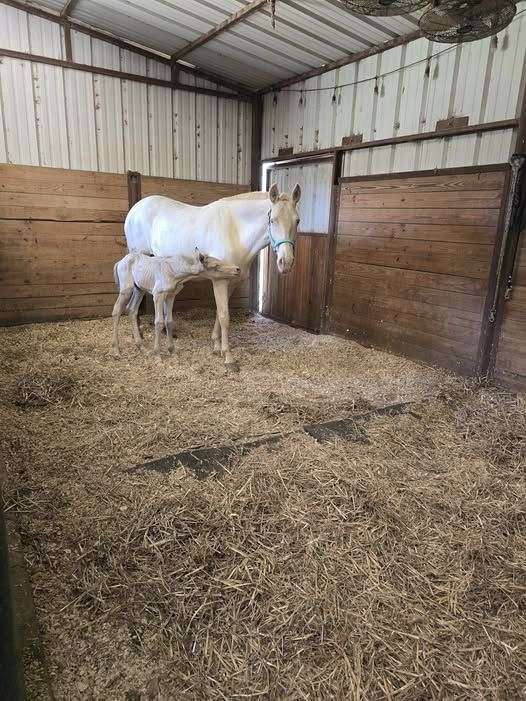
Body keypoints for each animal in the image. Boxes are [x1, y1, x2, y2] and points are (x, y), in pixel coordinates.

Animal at [114, 249, 242, 356]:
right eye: (216, 266)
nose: (237, 269)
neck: (174, 271)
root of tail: (119, 262)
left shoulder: (170, 295)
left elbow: (169, 321)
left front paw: (171, 350)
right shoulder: (158, 295)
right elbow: (159, 322)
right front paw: (157, 354)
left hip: (139, 289)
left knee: (132, 309)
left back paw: (140, 347)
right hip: (126, 289)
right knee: (117, 310)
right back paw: (116, 350)